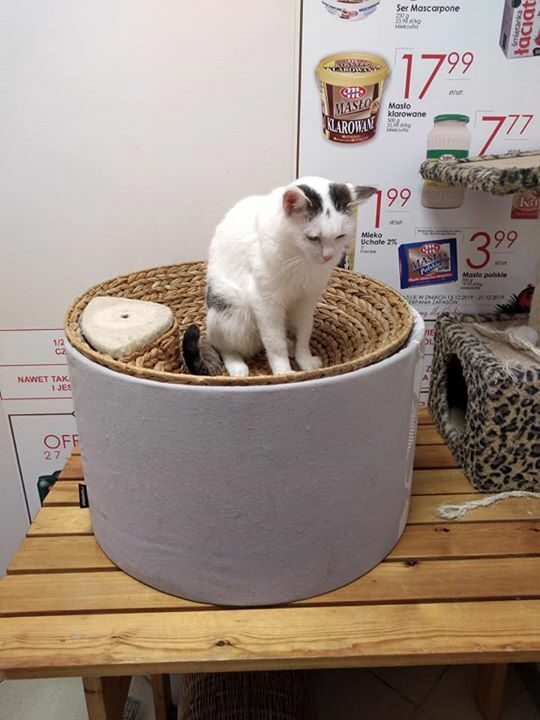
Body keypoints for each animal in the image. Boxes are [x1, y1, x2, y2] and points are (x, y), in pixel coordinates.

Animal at [183, 177, 376, 377]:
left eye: (340, 236)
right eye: (313, 238)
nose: (328, 256)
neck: (301, 261)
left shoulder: (307, 300)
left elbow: (304, 334)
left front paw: (305, 361)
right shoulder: (266, 302)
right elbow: (275, 344)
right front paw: (284, 372)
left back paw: (290, 346)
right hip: (232, 308)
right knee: (225, 346)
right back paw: (237, 365)